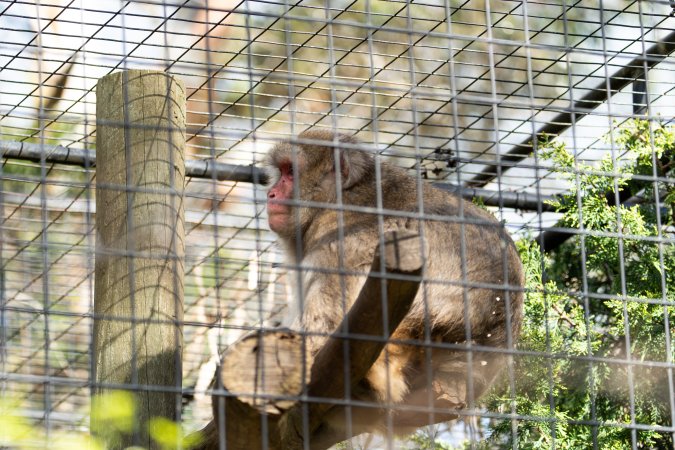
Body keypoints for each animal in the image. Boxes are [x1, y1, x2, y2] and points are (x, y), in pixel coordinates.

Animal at [265, 129, 524, 437]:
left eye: (290, 172)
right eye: (280, 172)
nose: (270, 193)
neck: (343, 194)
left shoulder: (336, 232)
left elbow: (323, 322)